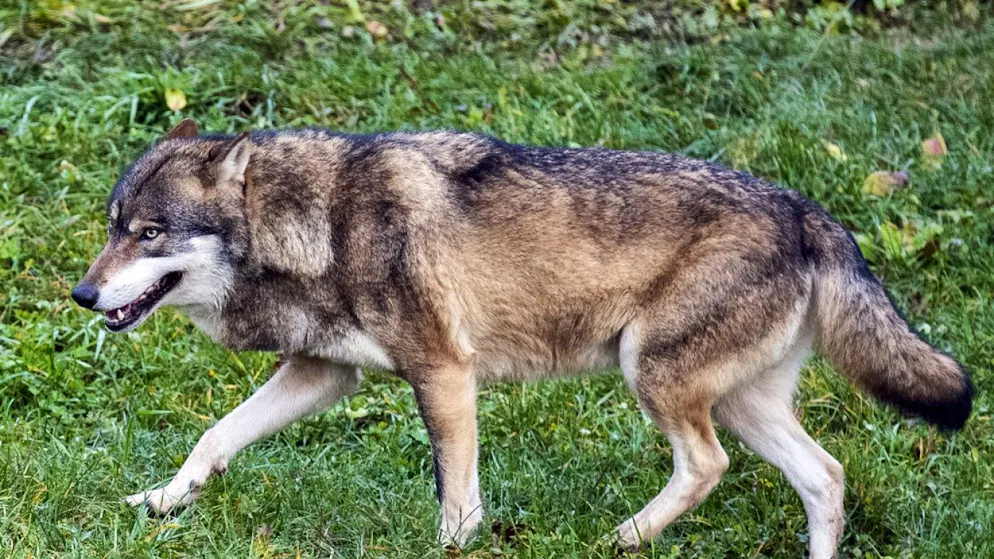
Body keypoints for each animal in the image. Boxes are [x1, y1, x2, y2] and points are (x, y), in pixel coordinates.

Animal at [72, 119, 972, 557]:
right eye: (113, 228)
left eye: (149, 233)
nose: (82, 294)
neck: (320, 223)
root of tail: (811, 210)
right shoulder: (324, 375)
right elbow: (214, 437)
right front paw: (162, 502)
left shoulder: (444, 370)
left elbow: (457, 497)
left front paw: (452, 550)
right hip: (736, 400)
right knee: (825, 475)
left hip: (653, 376)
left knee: (709, 465)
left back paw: (623, 539)